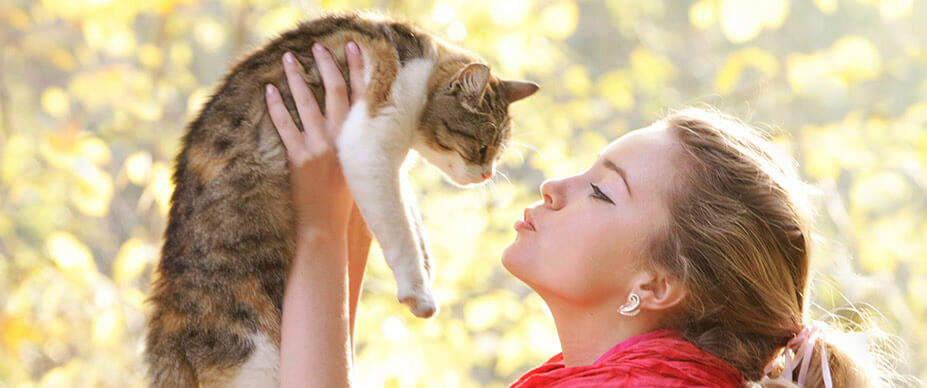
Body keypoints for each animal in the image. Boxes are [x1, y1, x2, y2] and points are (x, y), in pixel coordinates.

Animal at [143, 12, 536, 388]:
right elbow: (400, 228)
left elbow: (411, 216)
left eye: (497, 153)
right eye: (482, 147)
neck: (418, 63)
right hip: (258, 355)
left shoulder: (393, 165)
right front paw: (419, 291)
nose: (486, 174)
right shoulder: (370, 144)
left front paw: (427, 265)